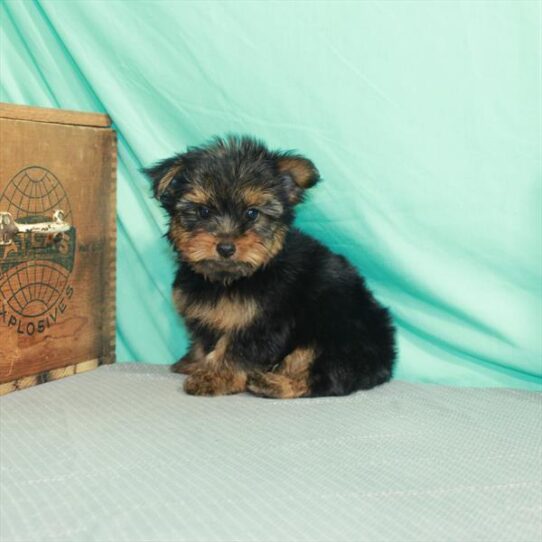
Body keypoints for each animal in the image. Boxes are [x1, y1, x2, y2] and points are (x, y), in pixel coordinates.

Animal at [147, 137, 398, 400]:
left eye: (252, 213)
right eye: (203, 211)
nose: (226, 247)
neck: (233, 278)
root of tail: (386, 361)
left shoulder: (264, 320)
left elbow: (236, 349)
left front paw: (215, 377)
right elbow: (205, 340)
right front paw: (194, 362)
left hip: (339, 336)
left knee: (324, 374)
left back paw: (273, 383)